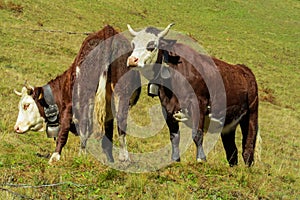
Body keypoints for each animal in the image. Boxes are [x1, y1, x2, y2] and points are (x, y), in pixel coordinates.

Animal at [13, 25, 141, 163]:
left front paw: (55, 157)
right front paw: (109, 159)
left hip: (86, 95)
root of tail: (108, 31)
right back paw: (124, 158)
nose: (16, 128)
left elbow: (63, 131)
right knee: (121, 124)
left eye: (26, 105)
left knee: (85, 126)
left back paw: (81, 155)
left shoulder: (69, 107)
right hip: (122, 93)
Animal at [125, 23, 262, 166]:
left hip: (251, 114)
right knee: (232, 151)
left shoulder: (199, 104)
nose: (132, 60)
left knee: (248, 146)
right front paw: (175, 160)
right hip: (228, 124)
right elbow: (174, 136)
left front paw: (201, 159)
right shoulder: (167, 108)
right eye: (133, 44)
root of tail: (244, 69)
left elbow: (197, 134)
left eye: (152, 45)